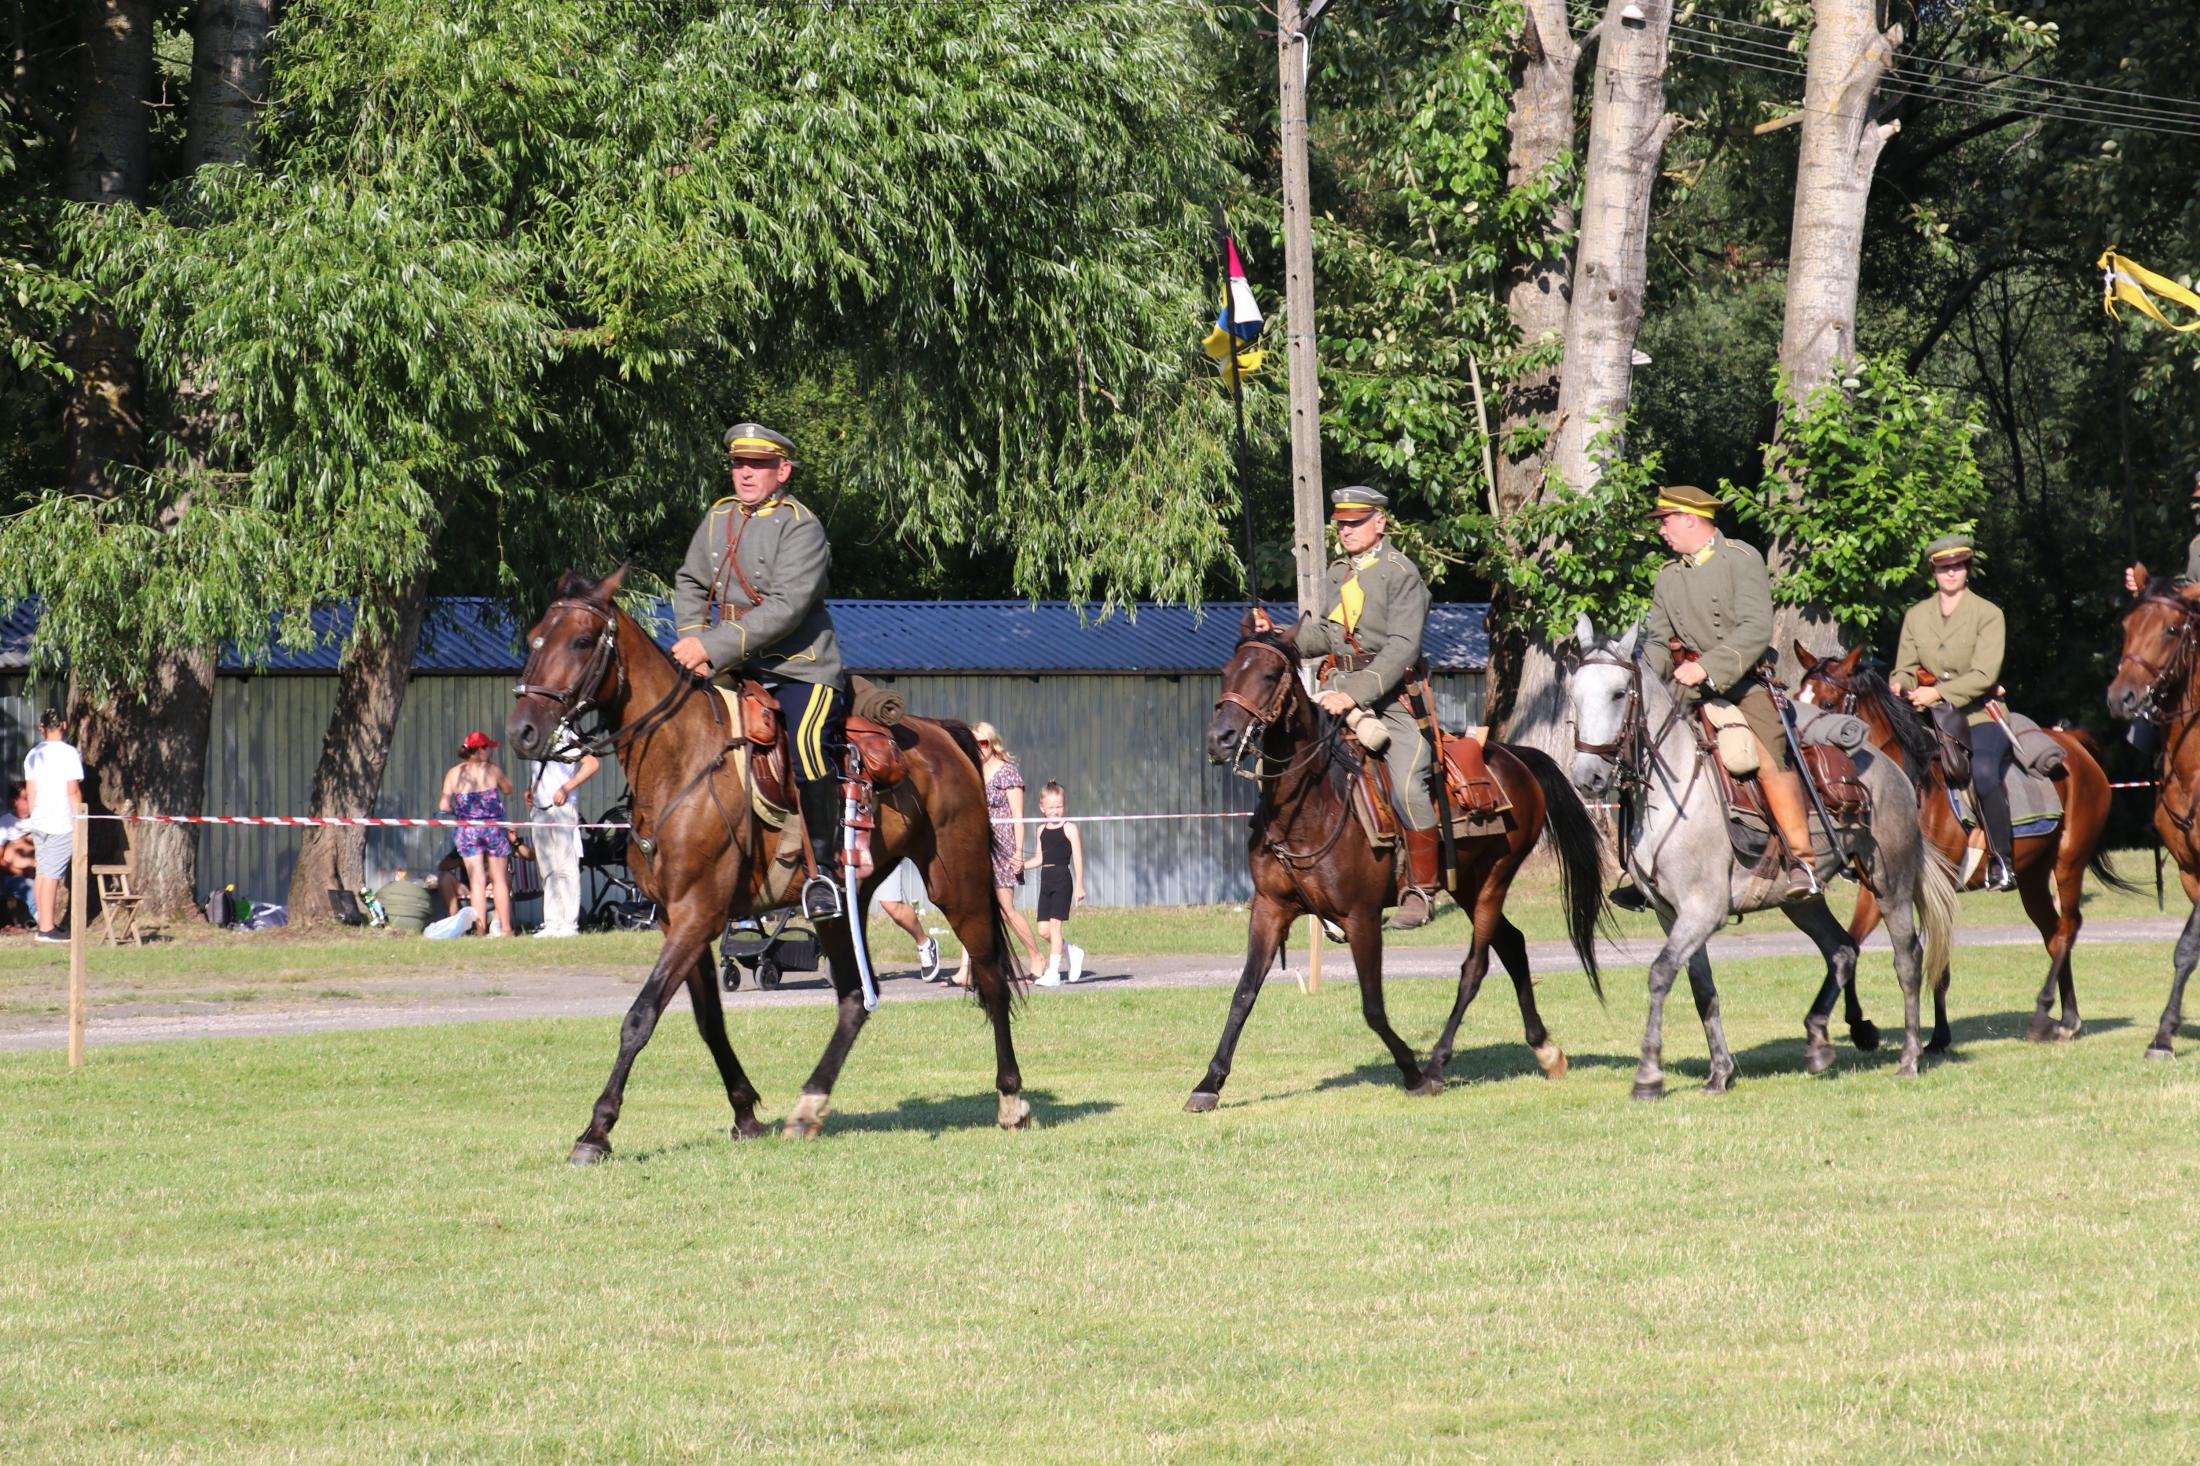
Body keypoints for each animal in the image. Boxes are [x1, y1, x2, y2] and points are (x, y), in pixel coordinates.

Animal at [504, 567, 1030, 1159]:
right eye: (534, 639)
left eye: (581, 640)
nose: (523, 730)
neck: (680, 758)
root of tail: (943, 734)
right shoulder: (678, 920)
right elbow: (709, 1022)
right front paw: (745, 1112)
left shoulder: (697, 915)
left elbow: (639, 1017)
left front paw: (596, 1131)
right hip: (841, 905)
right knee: (855, 998)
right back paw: (808, 1106)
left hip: (957, 885)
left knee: (990, 978)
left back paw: (1011, 1099)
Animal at [1184, 610, 1608, 1111]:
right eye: (1228, 673)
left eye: (1269, 675)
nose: (1220, 739)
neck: (1311, 805)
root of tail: (1514, 757)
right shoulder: (1270, 909)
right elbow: (1244, 993)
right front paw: (1209, 1083)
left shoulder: (1361, 917)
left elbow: (1372, 1006)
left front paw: (1410, 1069)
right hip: (1467, 885)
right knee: (1513, 945)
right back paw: (1545, 1050)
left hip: (1493, 881)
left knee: (1476, 967)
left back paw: (1438, 1065)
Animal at [1568, 618, 1958, 1096]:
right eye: (1575, 693)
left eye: (1619, 693)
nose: (1588, 778)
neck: (1673, 790)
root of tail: (1894, 769)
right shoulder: (1671, 914)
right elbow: (1702, 988)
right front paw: (1719, 1072)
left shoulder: (1703, 910)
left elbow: (1660, 974)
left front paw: (1648, 1075)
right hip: (1803, 901)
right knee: (1842, 949)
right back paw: (1818, 1041)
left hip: (1890, 885)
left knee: (1907, 957)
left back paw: (1909, 1056)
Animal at [1797, 643, 2131, 1049]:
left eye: (1828, 704)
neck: (1911, 782)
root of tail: (2077, 749)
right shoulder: (1880, 885)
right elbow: (1853, 942)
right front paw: (1863, 1026)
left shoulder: (1934, 885)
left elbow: (1936, 961)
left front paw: (1937, 1036)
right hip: (2034, 876)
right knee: (2053, 935)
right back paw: (2067, 1018)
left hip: (2068, 863)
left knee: (2068, 928)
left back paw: (2044, 1015)